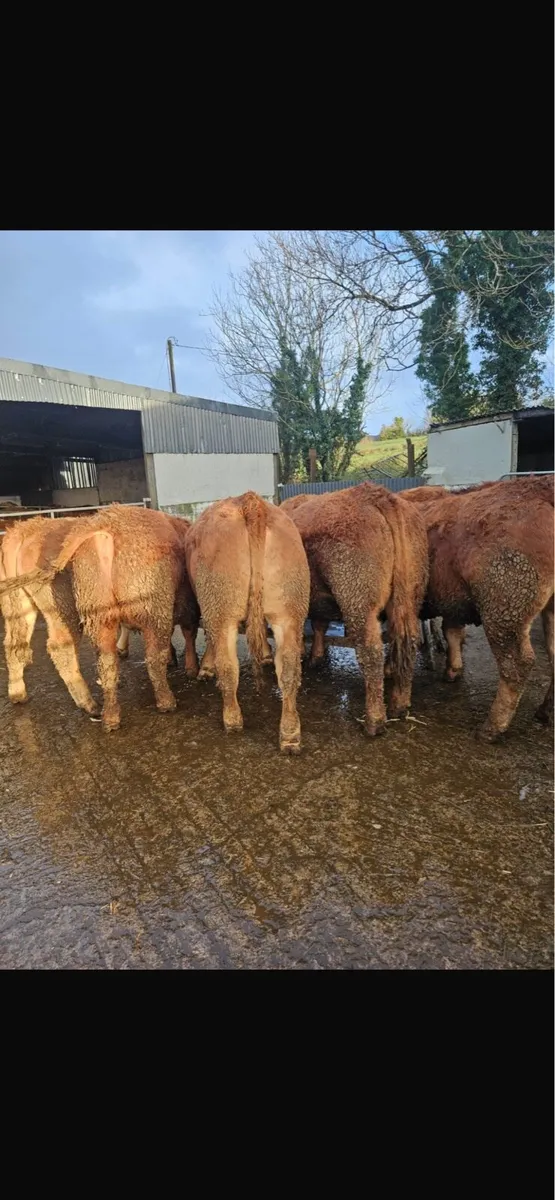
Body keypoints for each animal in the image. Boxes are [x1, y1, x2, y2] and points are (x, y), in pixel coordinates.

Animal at [0, 505, 200, 731]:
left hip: (24, 605)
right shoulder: (185, 604)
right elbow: (188, 632)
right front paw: (190, 667)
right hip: (79, 607)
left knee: (17, 645)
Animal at [184, 491, 309, 753]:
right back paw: (290, 734)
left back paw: (232, 719)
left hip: (220, 605)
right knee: (289, 668)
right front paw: (265, 655)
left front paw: (206, 668)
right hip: (290, 607)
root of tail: (249, 501)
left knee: (228, 666)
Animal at [284, 482, 429, 735]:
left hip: (358, 600)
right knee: (407, 641)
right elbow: (319, 624)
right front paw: (316, 656)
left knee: (371, 651)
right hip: (410, 598)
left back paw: (374, 721)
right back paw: (400, 703)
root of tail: (375, 495)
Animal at [403, 476, 554, 740]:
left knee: (517, 664)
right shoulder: (452, 599)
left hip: (503, 614)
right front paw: (453, 670)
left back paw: (492, 728)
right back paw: (545, 711)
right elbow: (452, 632)